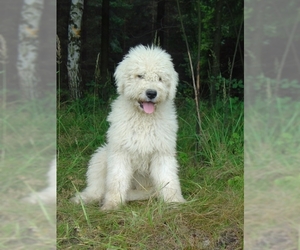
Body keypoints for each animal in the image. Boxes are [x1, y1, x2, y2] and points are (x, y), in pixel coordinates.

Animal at [72, 44, 186, 209]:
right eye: (140, 76)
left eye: (160, 78)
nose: (151, 93)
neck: (143, 118)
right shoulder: (120, 151)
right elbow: (117, 179)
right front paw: (112, 204)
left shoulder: (162, 151)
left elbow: (168, 177)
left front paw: (174, 201)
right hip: (101, 157)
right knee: (96, 187)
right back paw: (86, 198)